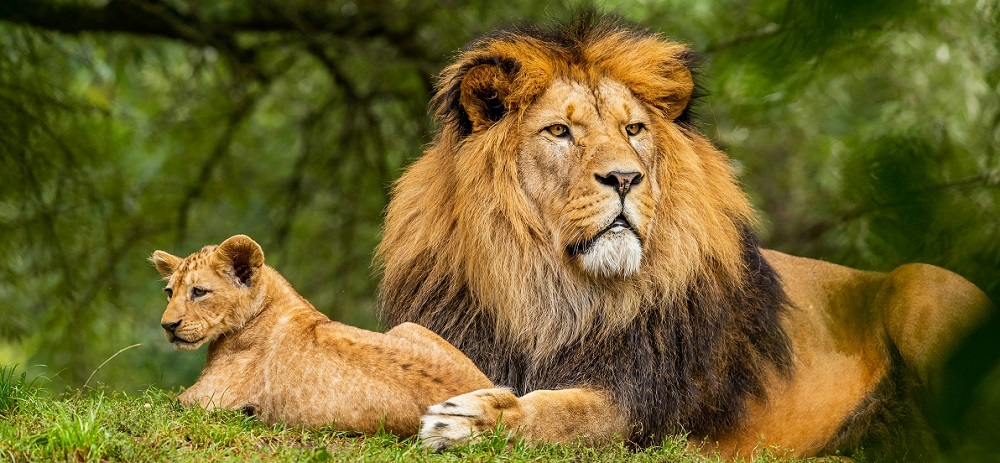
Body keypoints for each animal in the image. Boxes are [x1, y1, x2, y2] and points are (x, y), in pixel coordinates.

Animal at [151, 234, 493, 434]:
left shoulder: (205, 399)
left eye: (199, 292)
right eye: (169, 293)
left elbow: (158, 405)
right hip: (408, 326)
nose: (167, 326)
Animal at [375, 15, 995, 460]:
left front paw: (471, 420)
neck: (551, 290)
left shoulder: (641, 404)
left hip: (920, 285)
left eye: (633, 129)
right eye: (559, 131)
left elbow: (560, 413)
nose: (625, 178)